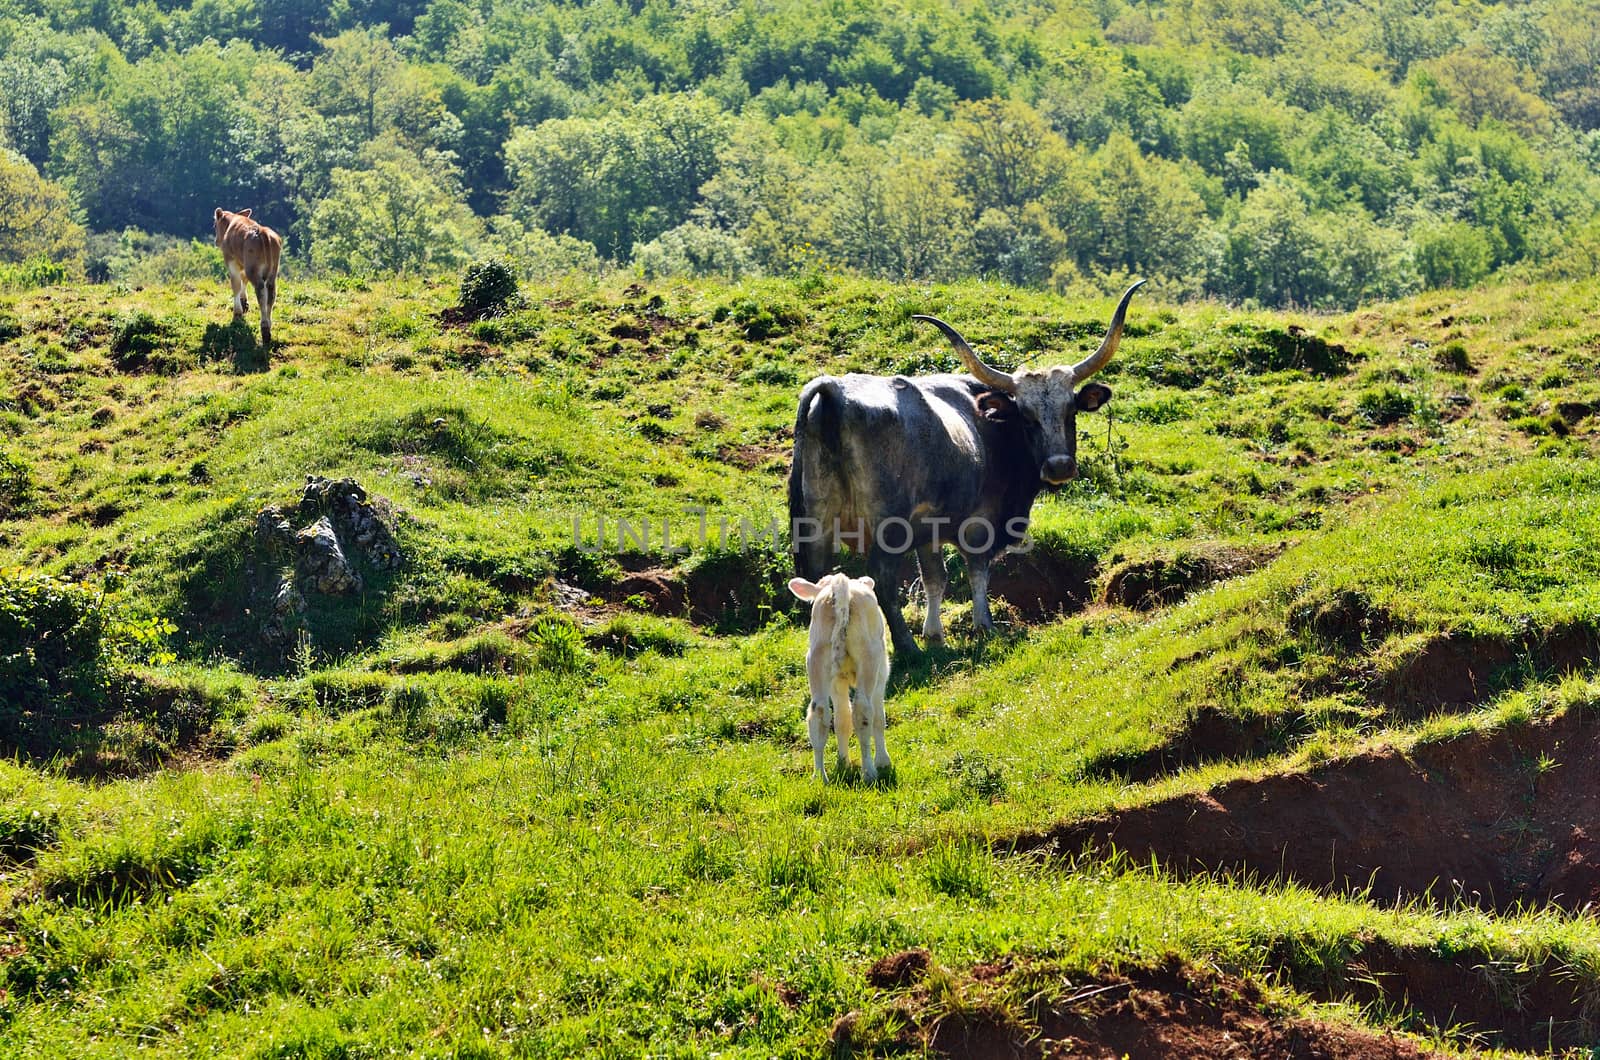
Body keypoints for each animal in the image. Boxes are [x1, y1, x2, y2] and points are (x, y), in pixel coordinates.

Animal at [214, 211, 283, 349]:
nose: (216, 241)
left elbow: (235, 284)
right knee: (271, 295)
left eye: (214, 225)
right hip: (272, 272)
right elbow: (243, 280)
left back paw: (265, 329)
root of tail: (262, 232)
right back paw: (269, 325)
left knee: (261, 293)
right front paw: (244, 301)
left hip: (253, 270)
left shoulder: (231, 261)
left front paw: (237, 312)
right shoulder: (243, 264)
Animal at [790, 573, 896, 781]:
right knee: (863, 710)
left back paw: (819, 776)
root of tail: (840, 586)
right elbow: (879, 718)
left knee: (819, 712)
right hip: (868, 658)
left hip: (817, 657)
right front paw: (883, 761)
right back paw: (869, 772)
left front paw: (843, 762)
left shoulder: (836, 681)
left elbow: (842, 720)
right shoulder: (881, 676)